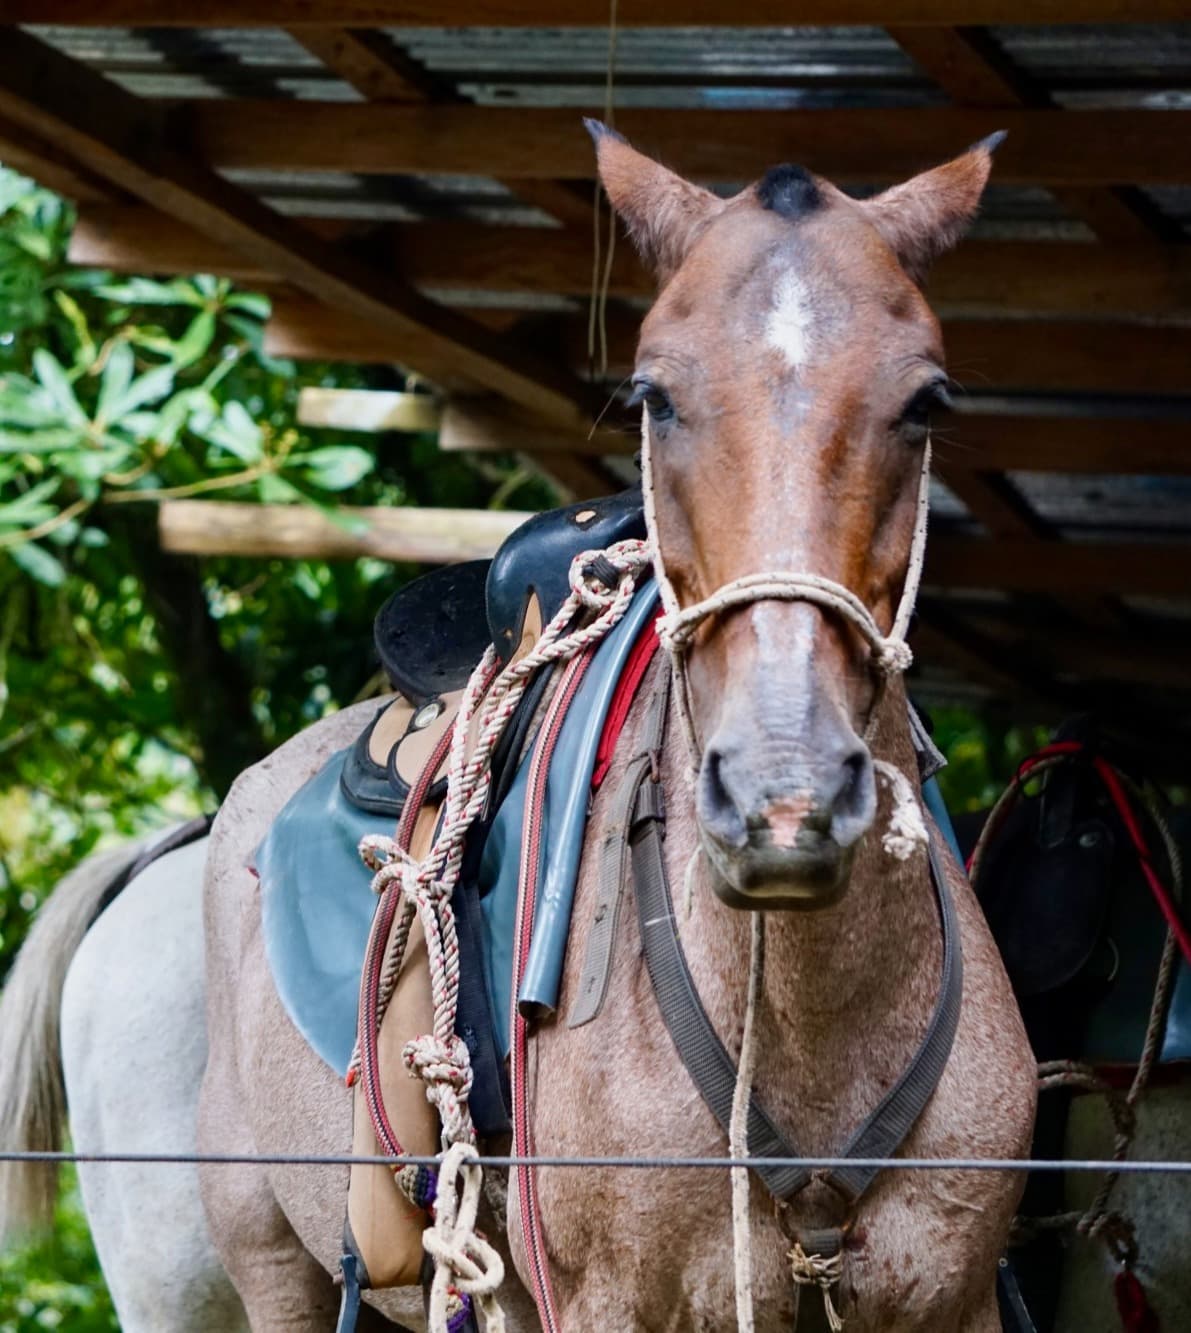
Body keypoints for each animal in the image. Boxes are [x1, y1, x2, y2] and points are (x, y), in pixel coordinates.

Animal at [0, 127, 1040, 1333]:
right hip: (241, 1275)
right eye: (653, 395)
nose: (784, 796)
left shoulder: (946, 1299)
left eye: (926, 400)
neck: (800, 1017)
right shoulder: (603, 1302)